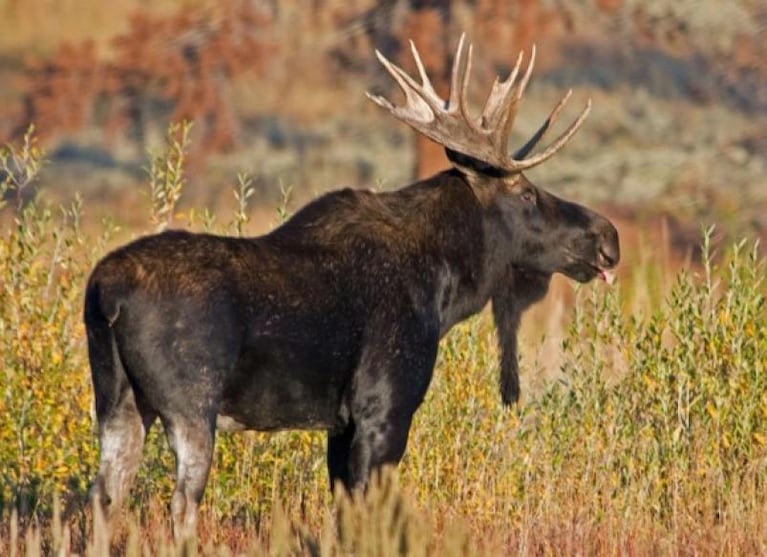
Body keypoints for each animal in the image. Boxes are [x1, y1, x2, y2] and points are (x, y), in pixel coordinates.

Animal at [87, 33, 620, 536]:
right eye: (526, 193)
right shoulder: (383, 409)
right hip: (191, 404)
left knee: (104, 496)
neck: (446, 289)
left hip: (118, 401)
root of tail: (105, 296)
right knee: (181, 503)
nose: (608, 237)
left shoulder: (338, 426)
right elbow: (367, 514)